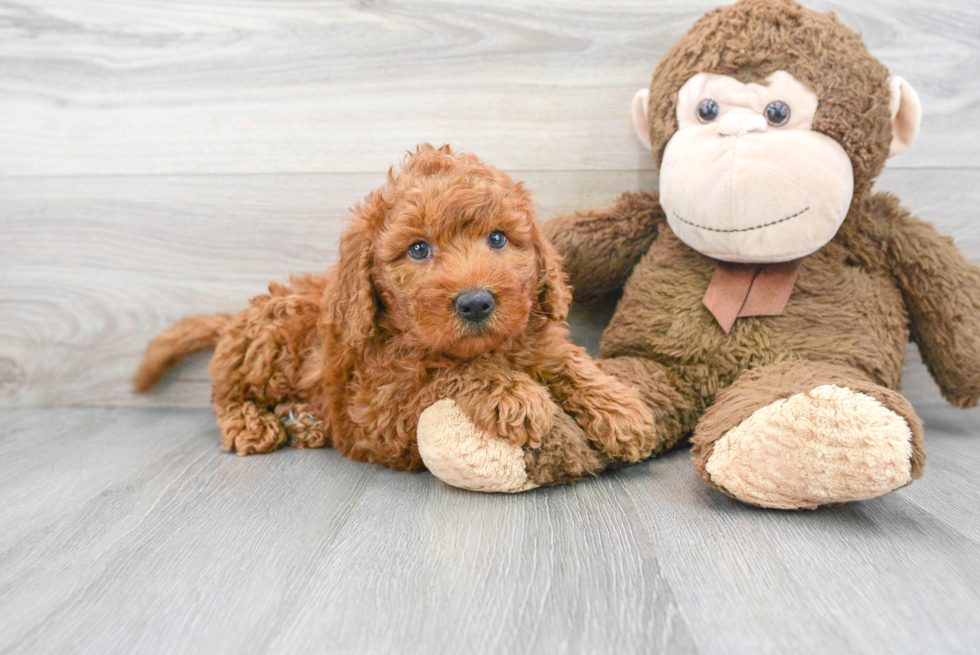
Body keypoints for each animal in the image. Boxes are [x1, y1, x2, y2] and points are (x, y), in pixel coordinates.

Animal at [134, 144, 656, 492]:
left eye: (498, 239)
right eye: (418, 249)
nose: (475, 303)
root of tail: (237, 318)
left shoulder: (533, 337)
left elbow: (565, 359)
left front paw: (620, 409)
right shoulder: (378, 409)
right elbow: (448, 371)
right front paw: (515, 393)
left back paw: (303, 422)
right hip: (274, 335)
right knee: (225, 390)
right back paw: (251, 423)